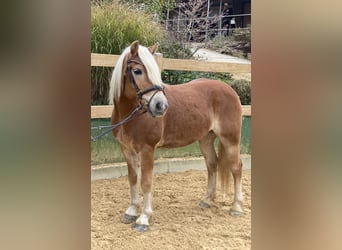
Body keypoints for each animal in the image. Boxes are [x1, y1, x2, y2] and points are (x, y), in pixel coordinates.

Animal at [109, 40, 243, 231]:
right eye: (137, 71)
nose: (161, 106)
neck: (132, 114)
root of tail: (229, 89)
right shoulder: (127, 149)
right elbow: (133, 179)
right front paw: (131, 211)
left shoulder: (147, 150)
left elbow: (146, 182)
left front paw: (143, 218)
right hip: (206, 139)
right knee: (212, 164)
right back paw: (207, 200)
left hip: (230, 139)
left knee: (236, 168)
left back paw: (236, 207)